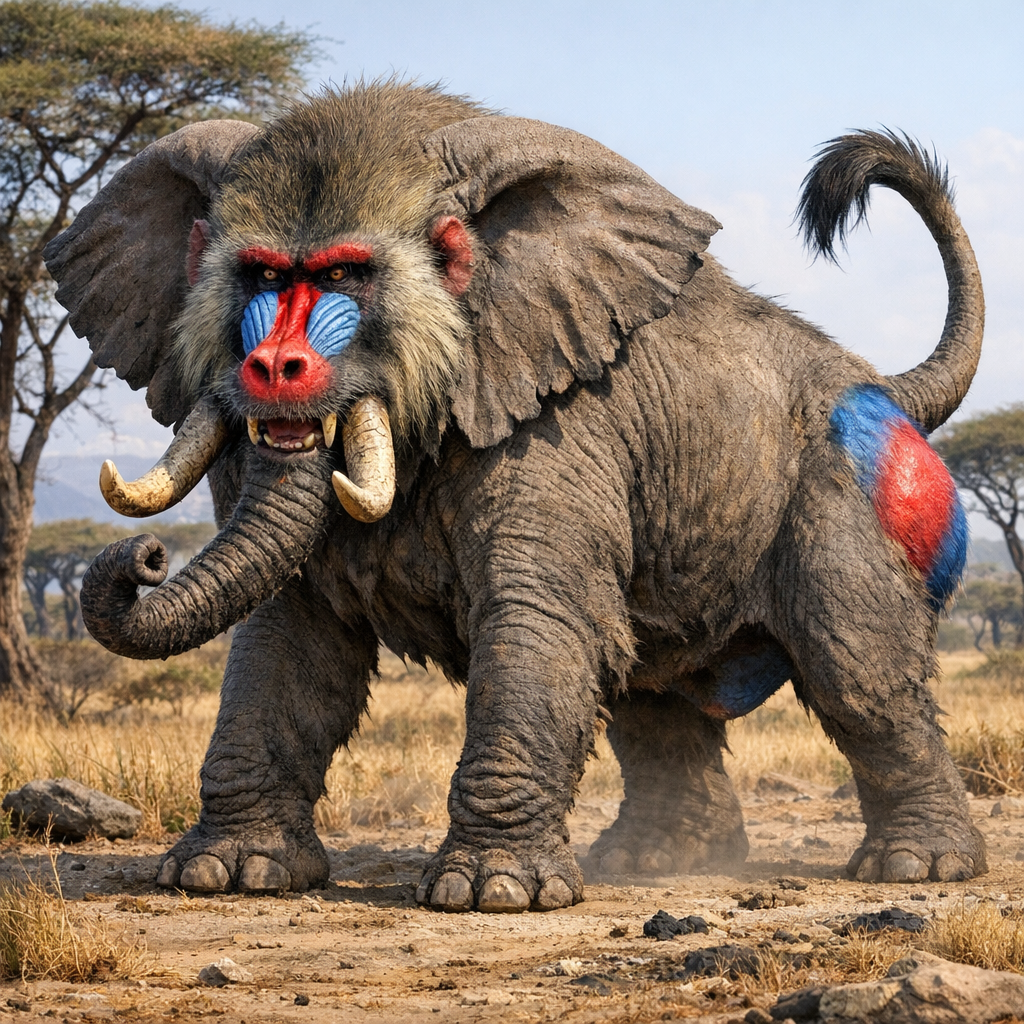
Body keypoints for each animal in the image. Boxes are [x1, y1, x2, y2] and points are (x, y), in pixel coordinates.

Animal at [43, 81, 986, 912]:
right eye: (260, 275)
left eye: (348, 275)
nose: (144, 556)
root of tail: (887, 386)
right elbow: (287, 634)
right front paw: (229, 875)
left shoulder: (562, 431)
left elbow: (533, 614)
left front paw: (492, 894)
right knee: (653, 698)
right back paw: (652, 863)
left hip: (845, 502)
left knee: (860, 673)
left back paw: (920, 869)